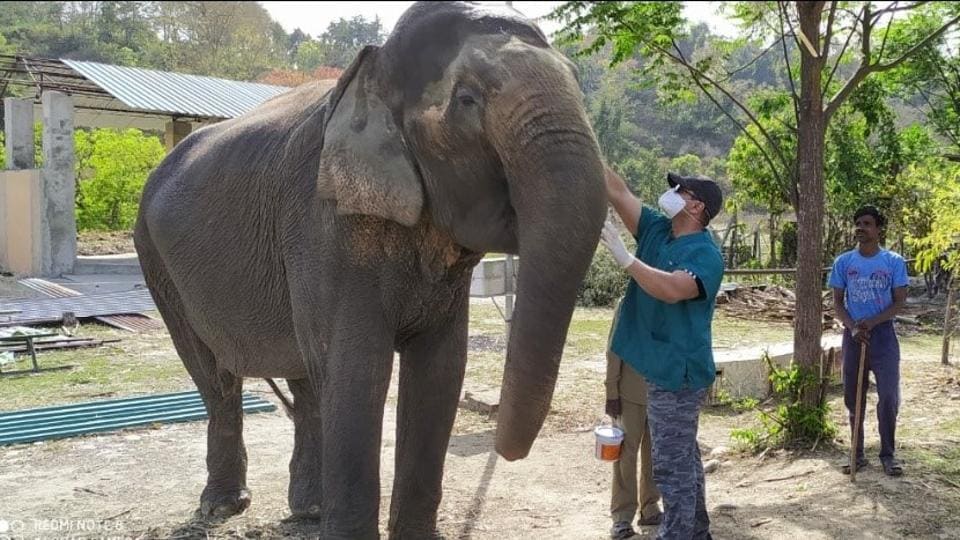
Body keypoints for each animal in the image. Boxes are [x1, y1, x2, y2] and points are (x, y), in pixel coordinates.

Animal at [131, 2, 604, 536]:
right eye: (466, 100)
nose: (504, 450)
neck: (372, 70)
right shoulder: (322, 225)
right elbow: (358, 368)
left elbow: (441, 369)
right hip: (155, 260)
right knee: (217, 377)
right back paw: (222, 507)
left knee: (304, 378)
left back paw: (309, 510)